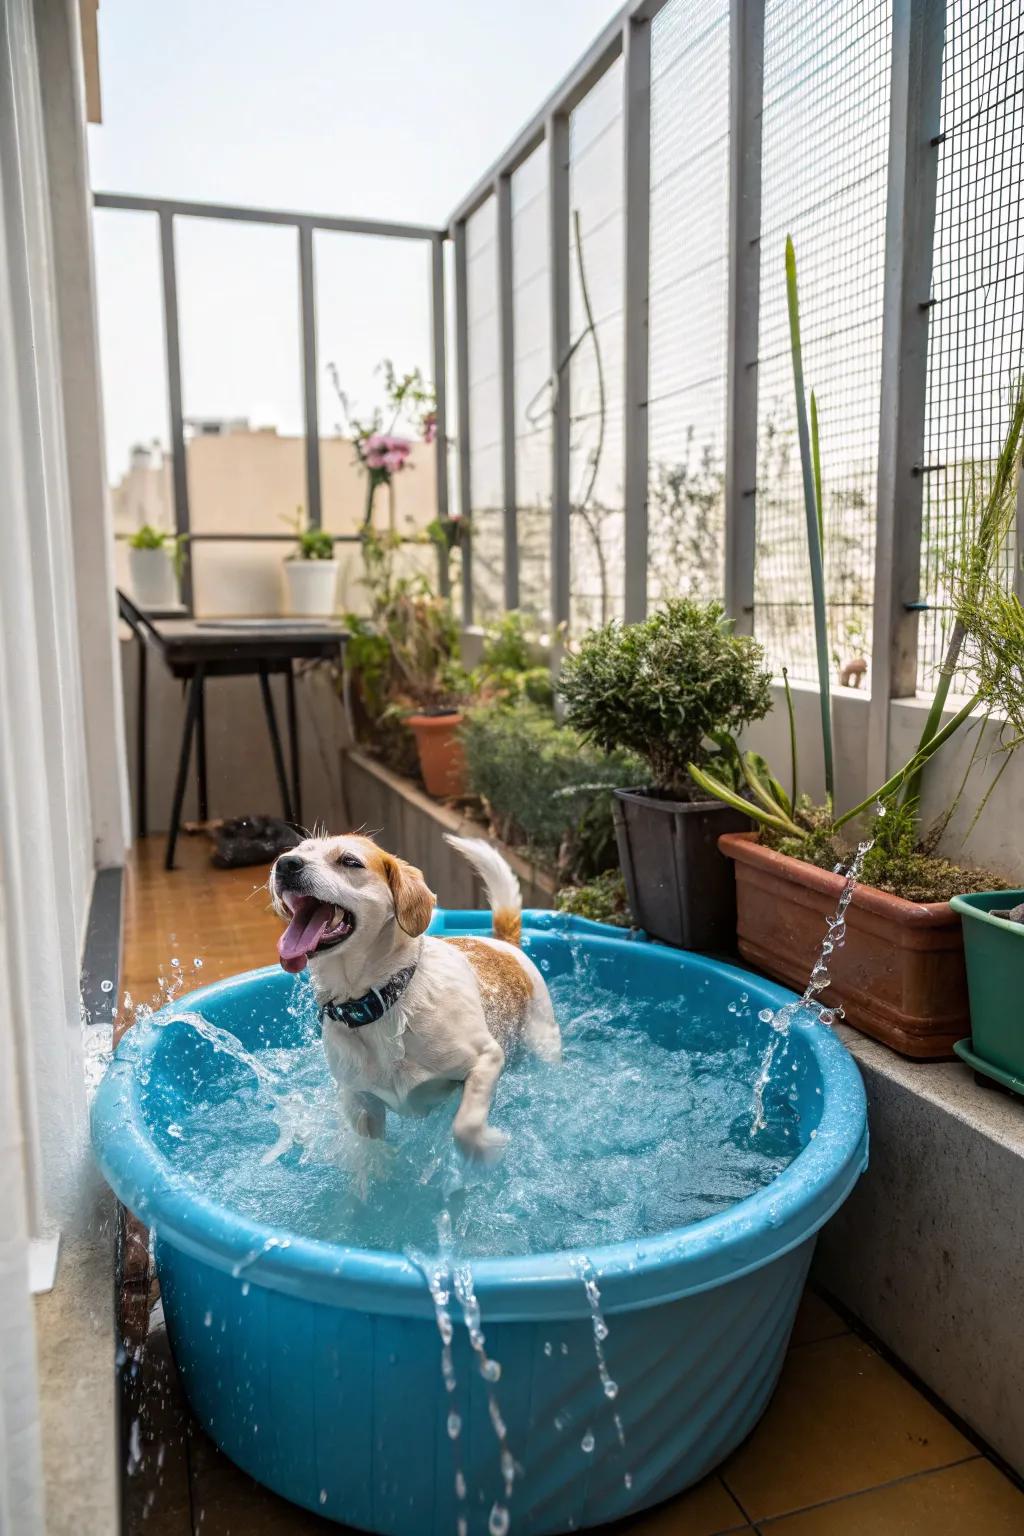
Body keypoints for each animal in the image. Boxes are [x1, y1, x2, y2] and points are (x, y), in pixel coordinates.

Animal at [268, 835, 561, 1155]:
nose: (285, 864)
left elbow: (466, 1126)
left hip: (543, 1043)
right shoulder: (360, 1101)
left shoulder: (487, 1058)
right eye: (295, 852)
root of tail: (503, 944)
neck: (383, 1000)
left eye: (349, 861)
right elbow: (370, 1150)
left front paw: (482, 1150)